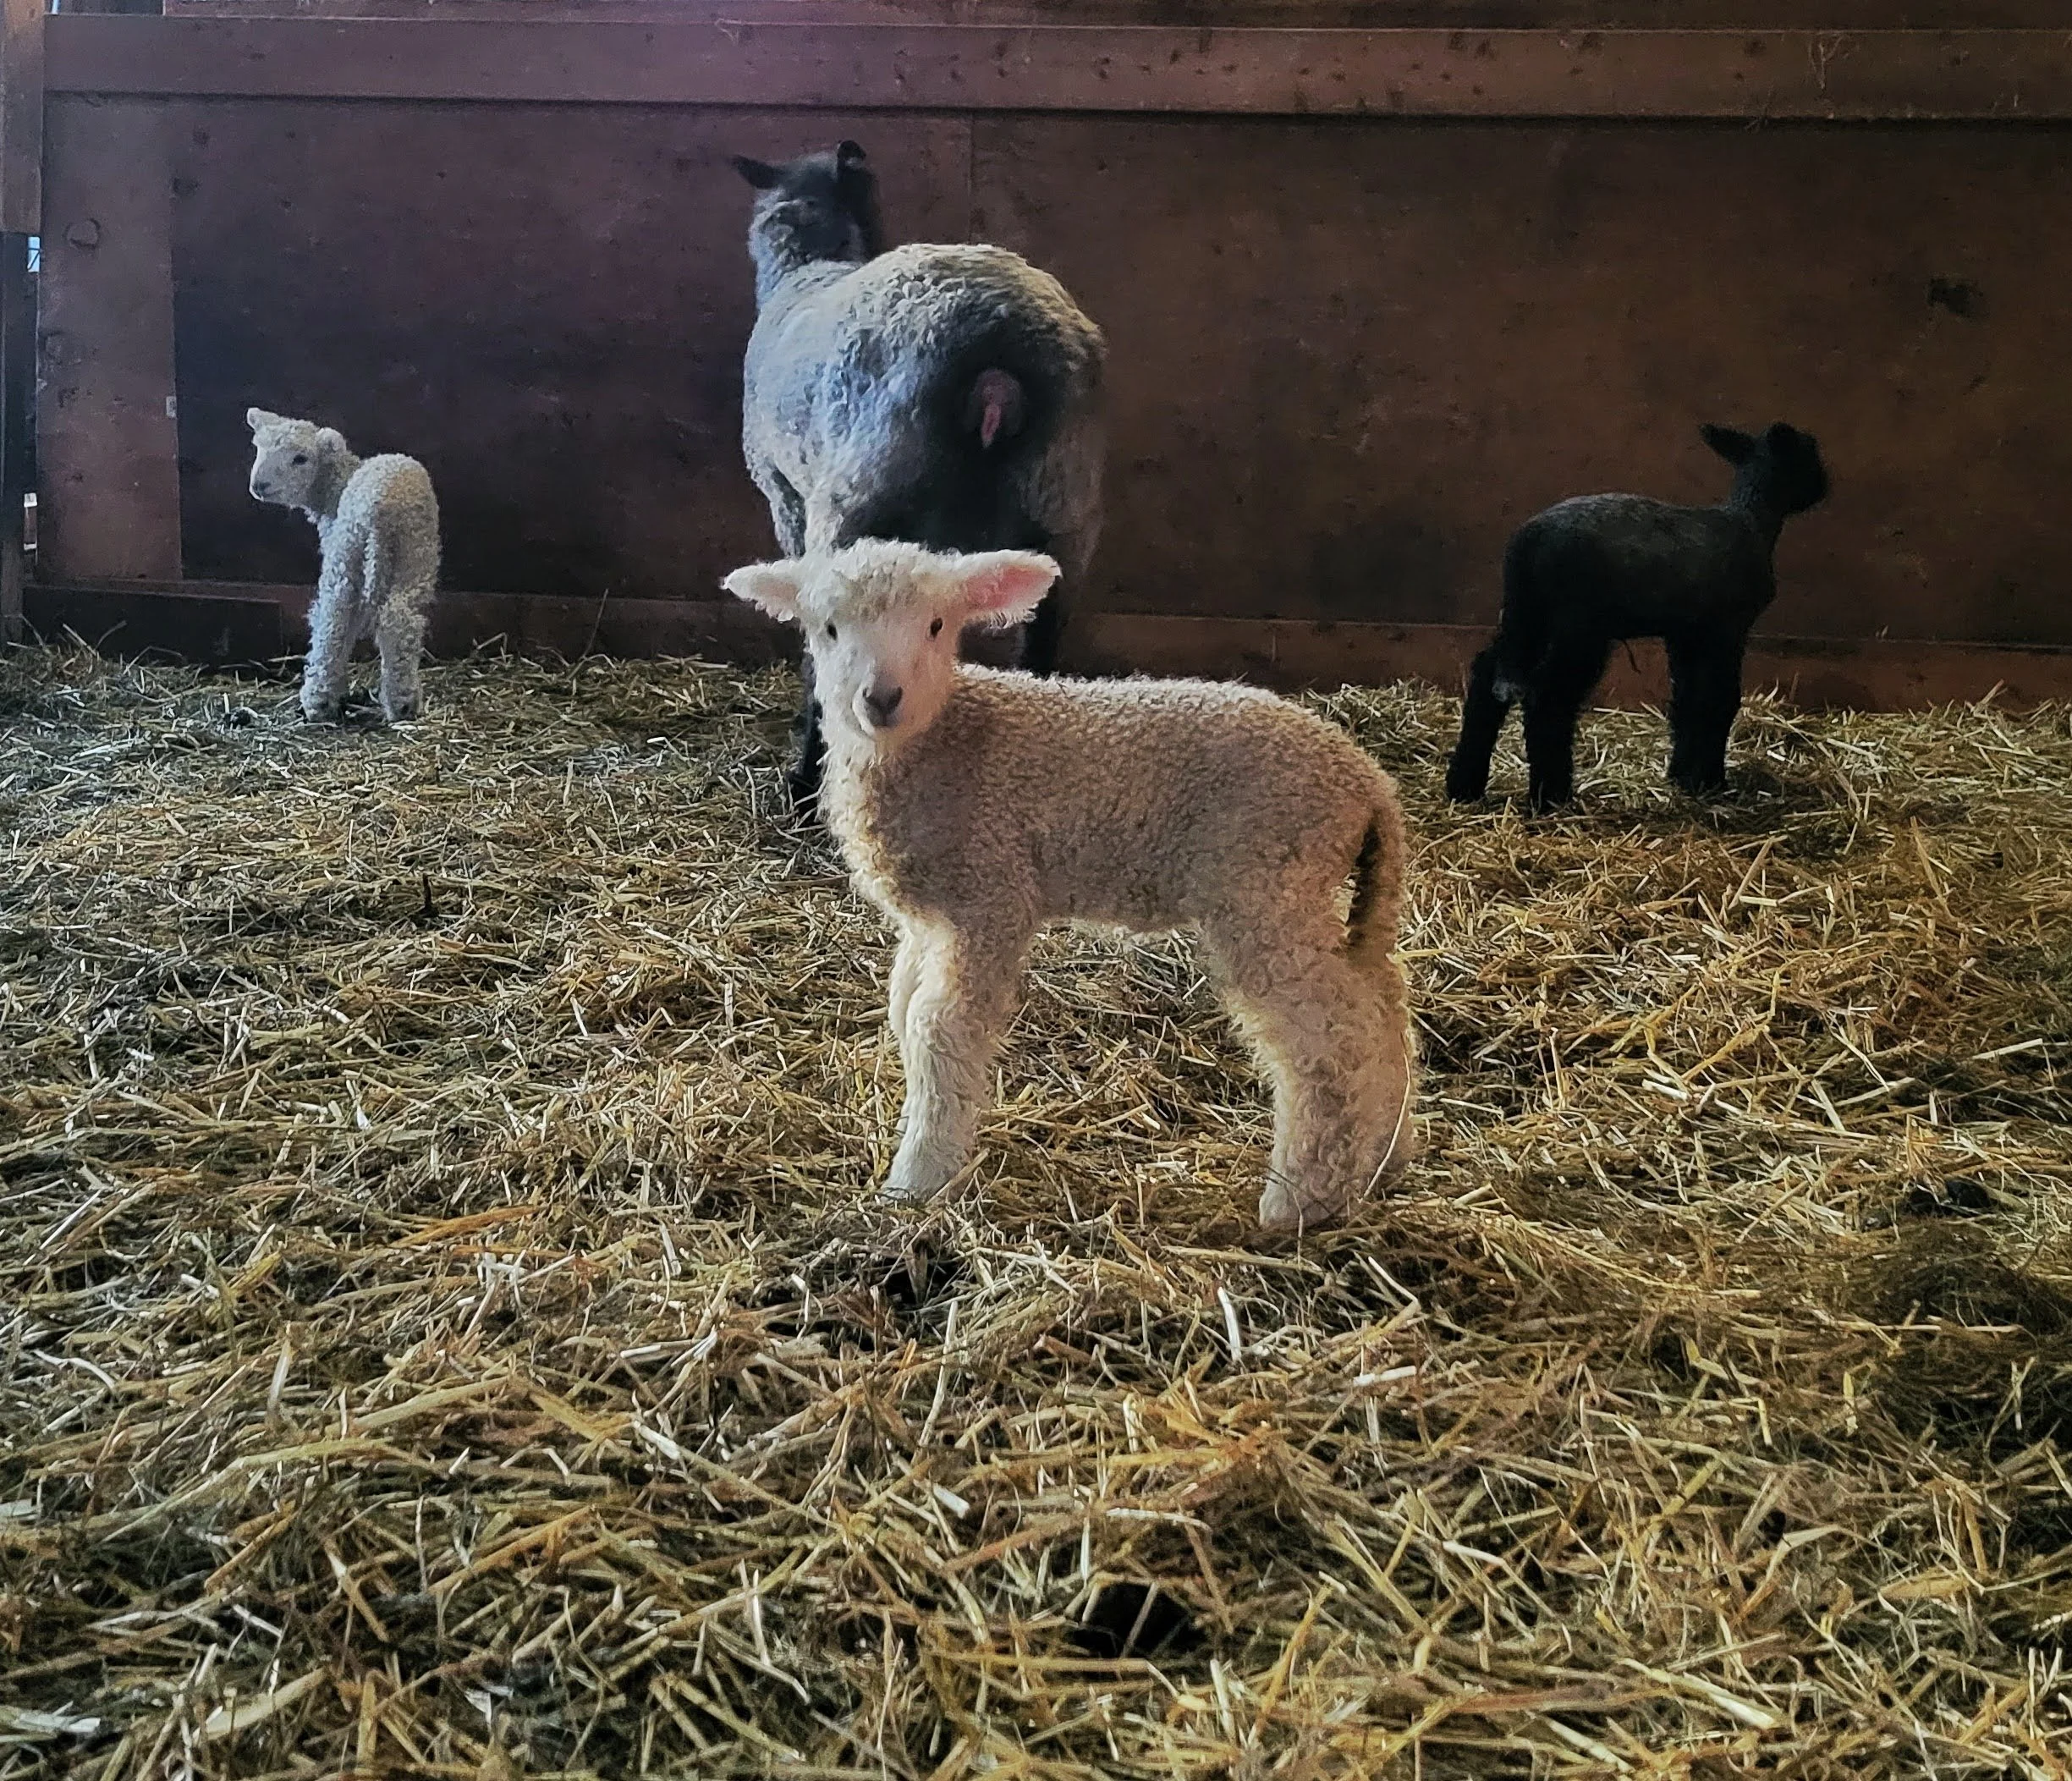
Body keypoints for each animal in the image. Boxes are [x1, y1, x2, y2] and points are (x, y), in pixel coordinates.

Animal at [246, 408, 441, 724]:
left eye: (301, 458)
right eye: (258, 448)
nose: (259, 486)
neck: (334, 492)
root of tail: (379, 511)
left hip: (346, 559)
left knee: (333, 621)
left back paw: (319, 702)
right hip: (414, 561)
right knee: (399, 620)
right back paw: (402, 703)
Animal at [723, 539, 1415, 1233]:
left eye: (937, 625)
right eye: (829, 629)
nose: (882, 697)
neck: (945, 742)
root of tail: (1369, 782)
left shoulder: (991, 896)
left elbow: (939, 1028)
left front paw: (917, 1179)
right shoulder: (932, 919)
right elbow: (903, 1008)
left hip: (1265, 891)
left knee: (1330, 1045)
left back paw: (1300, 1199)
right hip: (1320, 897)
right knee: (1381, 1008)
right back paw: (1387, 1156)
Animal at [732, 140, 1106, 813]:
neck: (811, 262)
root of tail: (998, 362)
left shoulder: (783, 496)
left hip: (861, 495)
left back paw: (805, 781)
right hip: (1067, 514)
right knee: (1044, 645)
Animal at [1446, 422, 1830, 812]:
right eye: (1810, 452)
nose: (1823, 486)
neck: (1753, 521)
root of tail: (1527, 542)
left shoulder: (1687, 634)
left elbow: (1687, 701)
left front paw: (1683, 775)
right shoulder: (1727, 629)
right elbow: (1719, 700)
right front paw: (1711, 780)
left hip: (1526, 615)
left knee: (1487, 677)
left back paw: (1465, 785)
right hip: (1577, 626)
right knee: (1548, 698)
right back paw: (1551, 796)